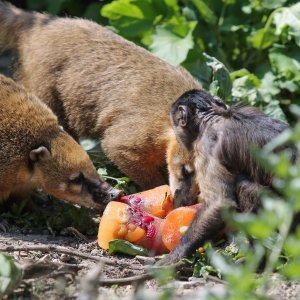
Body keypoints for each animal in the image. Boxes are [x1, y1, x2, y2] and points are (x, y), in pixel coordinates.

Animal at [158, 89, 294, 264]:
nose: (177, 137)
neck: (213, 117)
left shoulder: (206, 145)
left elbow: (219, 203)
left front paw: (175, 256)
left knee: (245, 186)